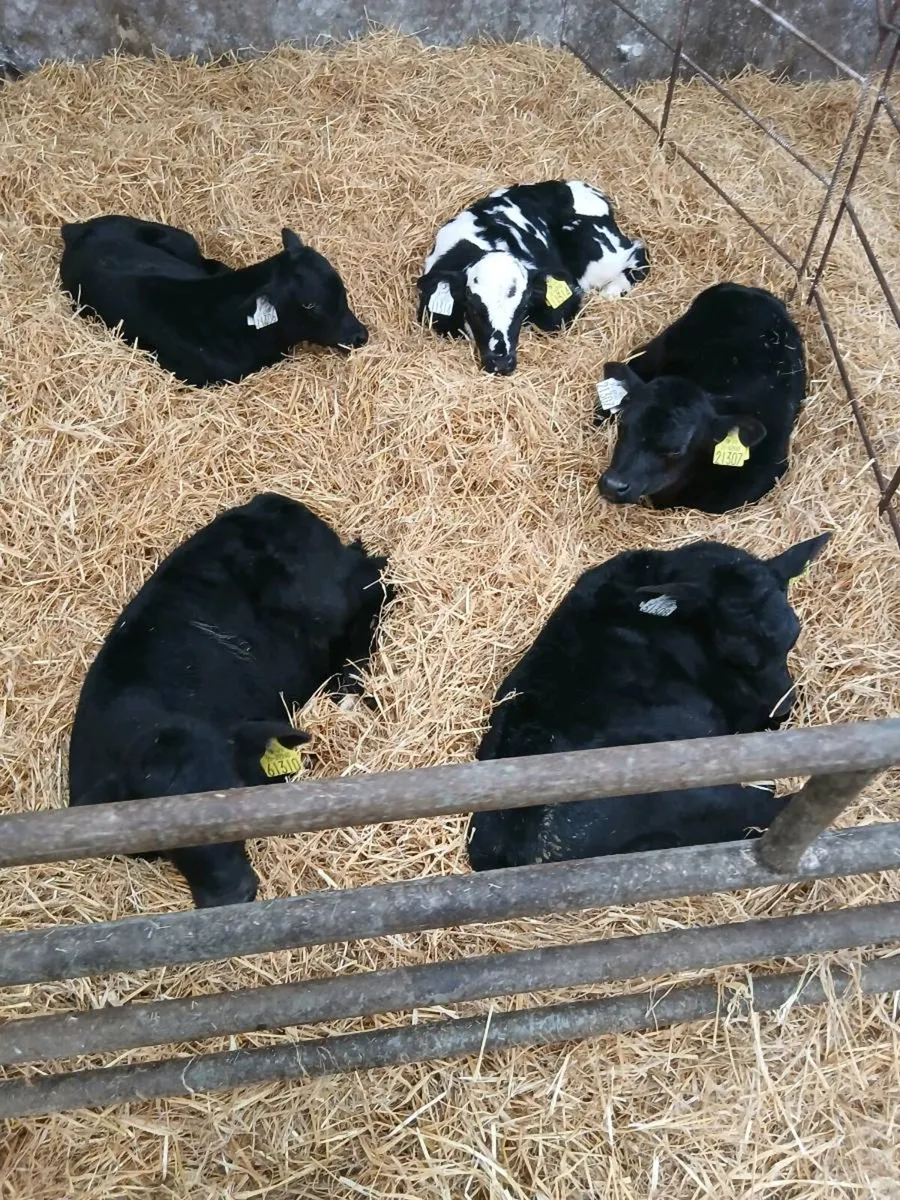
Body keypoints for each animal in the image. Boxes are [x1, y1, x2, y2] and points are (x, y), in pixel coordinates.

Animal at [417, 180, 649, 375]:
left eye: (523, 307)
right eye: (473, 308)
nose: (501, 363)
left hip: (599, 256)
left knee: (639, 253)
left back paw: (611, 291)